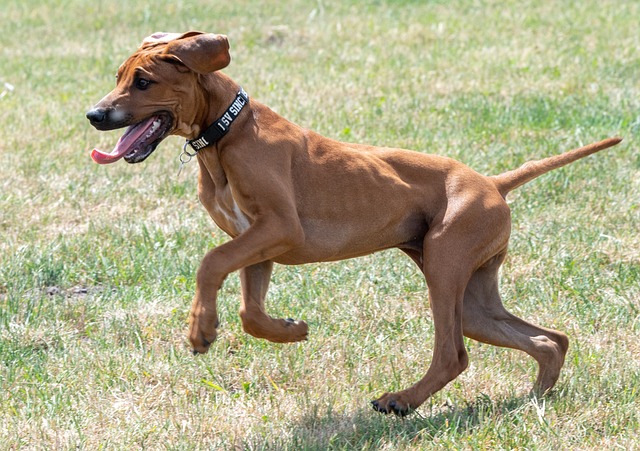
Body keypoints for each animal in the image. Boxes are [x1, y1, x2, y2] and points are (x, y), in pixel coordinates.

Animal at [85, 30, 620, 416]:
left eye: (143, 82)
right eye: (119, 76)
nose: (94, 114)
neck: (225, 133)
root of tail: (492, 182)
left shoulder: (278, 229)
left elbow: (210, 262)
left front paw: (201, 328)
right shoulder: (256, 242)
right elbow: (250, 312)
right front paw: (290, 330)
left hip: (446, 265)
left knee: (455, 353)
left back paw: (401, 400)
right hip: (472, 293)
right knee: (548, 340)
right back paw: (533, 400)